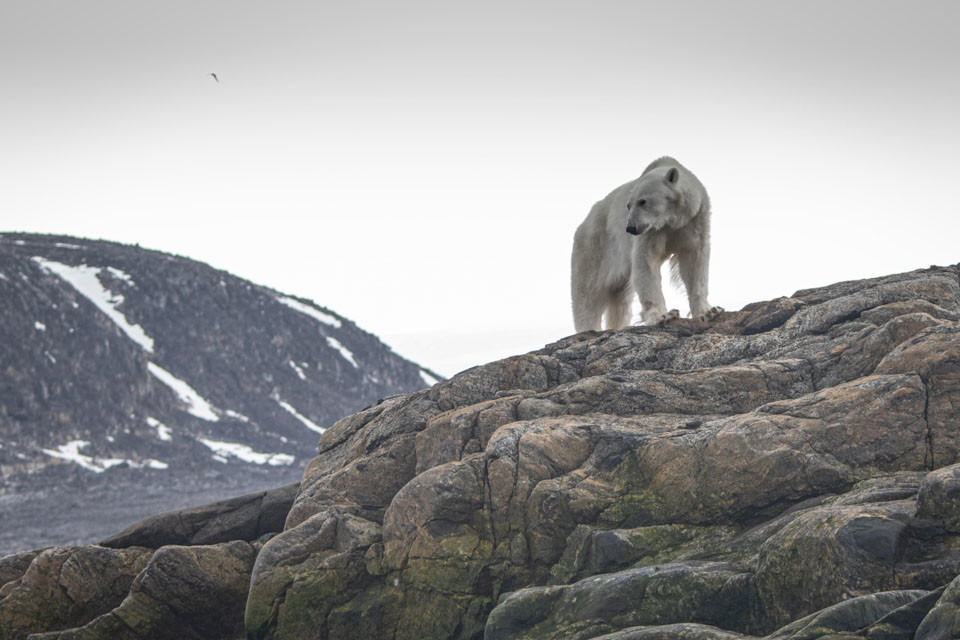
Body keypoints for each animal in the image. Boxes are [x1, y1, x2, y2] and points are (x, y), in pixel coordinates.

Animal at [568, 158, 720, 332]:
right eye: (628, 205)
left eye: (643, 201)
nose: (630, 228)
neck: (674, 220)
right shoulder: (651, 231)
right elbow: (646, 261)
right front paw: (663, 316)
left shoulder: (695, 220)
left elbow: (694, 261)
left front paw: (709, 312)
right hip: (593, 249)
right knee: (587, 294)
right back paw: (589, 328)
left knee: (620, 299)